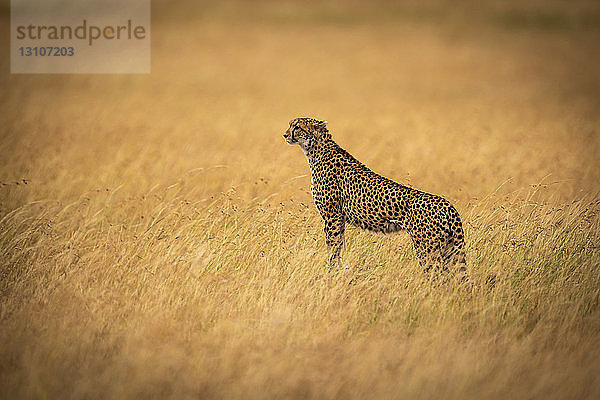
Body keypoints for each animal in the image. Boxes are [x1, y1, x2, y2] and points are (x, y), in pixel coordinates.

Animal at [284, 117, 466, 276]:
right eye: (290, 124)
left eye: (297, 127)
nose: (285, 135)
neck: (316, 149)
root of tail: (446, 204)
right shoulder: (339, 218)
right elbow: (338, 246)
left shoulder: (332, 216)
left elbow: (333, 247)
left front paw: (331, 273)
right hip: (449, 247)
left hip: (428, 248)